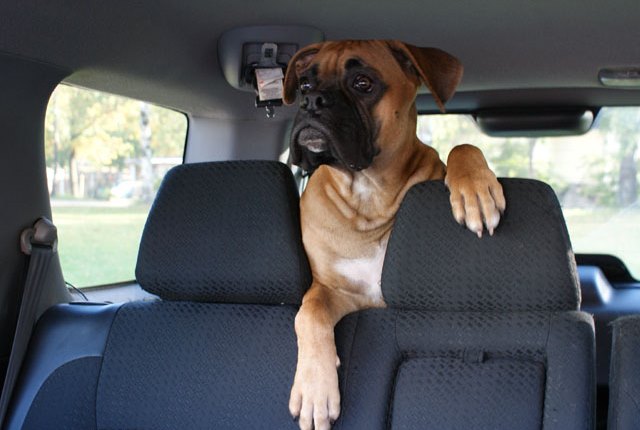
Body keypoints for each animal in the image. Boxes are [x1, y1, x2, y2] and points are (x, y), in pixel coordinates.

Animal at [284, 40, 504, 430]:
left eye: (362, 83)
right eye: (305, 84)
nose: (311, 101)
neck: (368, 193)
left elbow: (463, 147)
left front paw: (475, 189)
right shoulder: (340, 293)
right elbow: (308, 313)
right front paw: (314, 390)